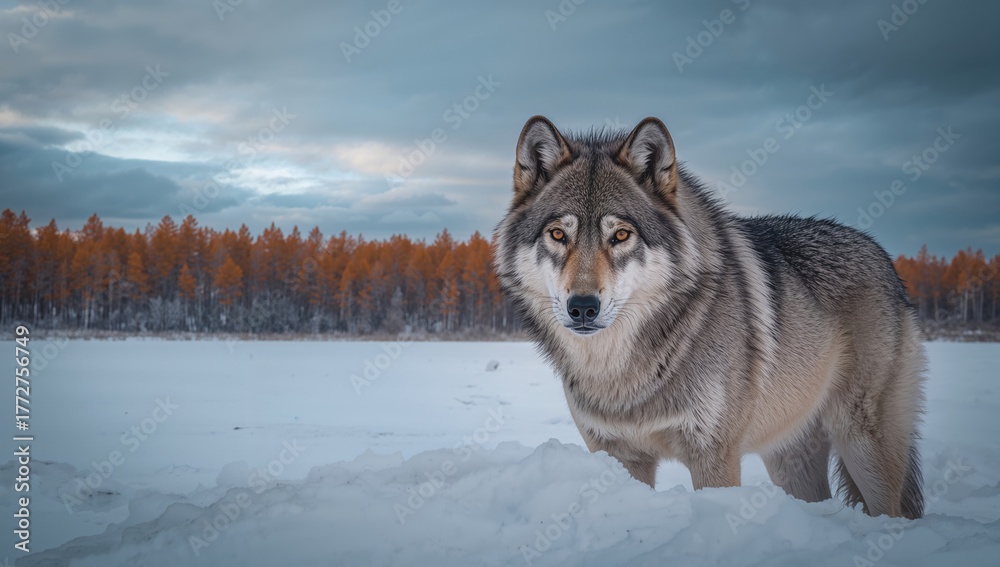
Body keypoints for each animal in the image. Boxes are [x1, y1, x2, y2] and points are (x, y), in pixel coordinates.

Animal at [493, 116, 926, 519]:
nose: (583, 307)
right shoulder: (617, 456)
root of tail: (884, 258)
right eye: (557, 234)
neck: (624, 377)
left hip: (864, 446)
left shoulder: (714, 455)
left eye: (620, 235)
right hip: (791, 462)